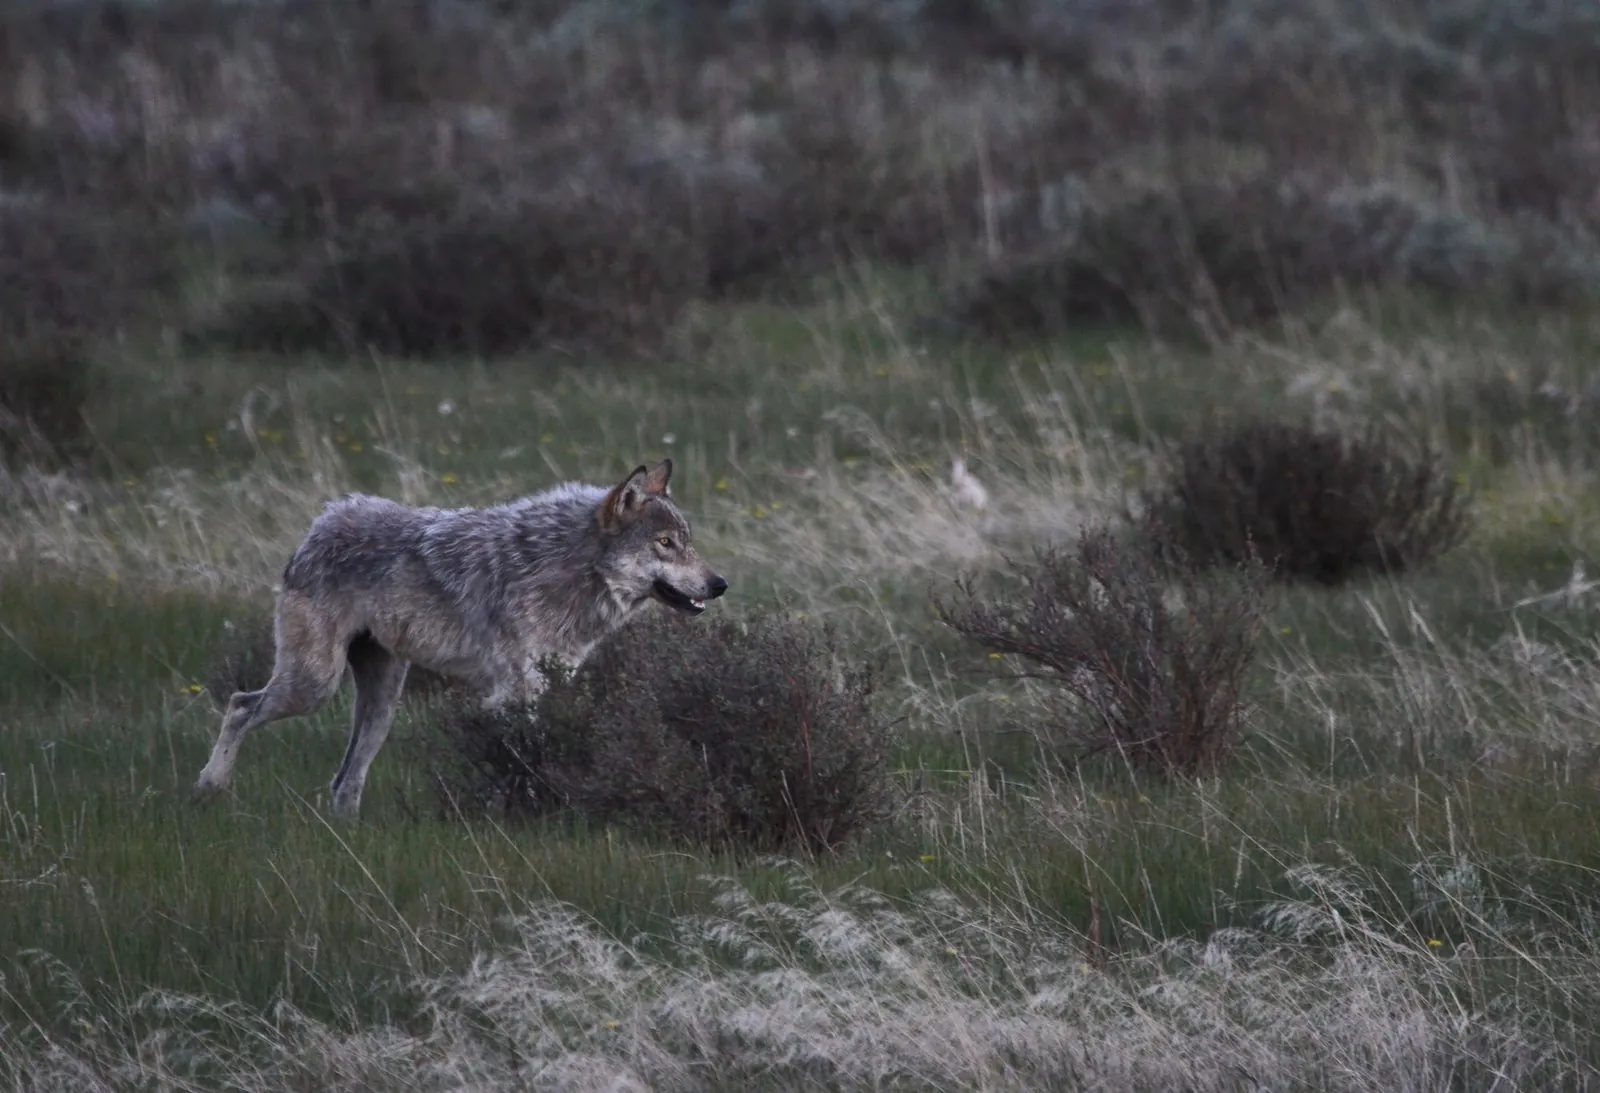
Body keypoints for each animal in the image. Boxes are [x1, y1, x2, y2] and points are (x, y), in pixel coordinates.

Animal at [192, 459, 726, 819]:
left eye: (688, 542)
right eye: (665, 544)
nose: (720, 584)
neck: (569, 570)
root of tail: (324, 518)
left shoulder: (551, 684)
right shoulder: (516, 692)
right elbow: (522, 758)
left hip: (382, 704)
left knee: (344, 779)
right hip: (314, 686)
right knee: (239, 704)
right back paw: (210, 785)